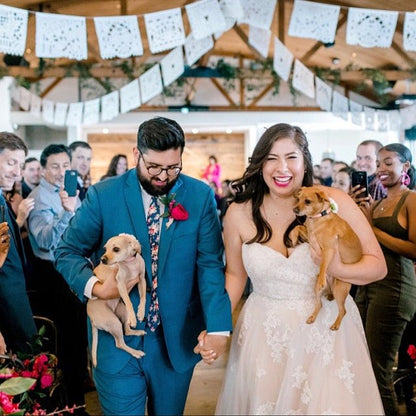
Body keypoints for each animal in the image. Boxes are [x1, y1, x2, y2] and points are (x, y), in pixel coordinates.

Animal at [87, 234, 147, 368]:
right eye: (105, 249)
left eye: (116, 249)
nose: (102, 259)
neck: (130, 263)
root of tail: (92, 319)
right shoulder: (121, 285)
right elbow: (129, 301)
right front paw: (134, 318)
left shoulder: (141, 279)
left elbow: (143, 297)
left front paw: (140, 313)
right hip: (114, 322)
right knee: (120, 344)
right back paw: (136, 352)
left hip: (122, 313)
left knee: (127, 331)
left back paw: (137, 332)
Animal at [290, 187, 360, 330]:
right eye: (298, 199)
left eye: (307, 201)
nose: (295, 210)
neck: (317, 219)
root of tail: (331, 290)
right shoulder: (309, 237)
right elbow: (298, 227)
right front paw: (293, 237)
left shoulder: (329, 250)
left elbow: (323, 264)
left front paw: (322, 277)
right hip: (317, 288)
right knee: (320, 304)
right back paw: (312, 317)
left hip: (339, 288)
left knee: (343, 310)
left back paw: (336, 325)